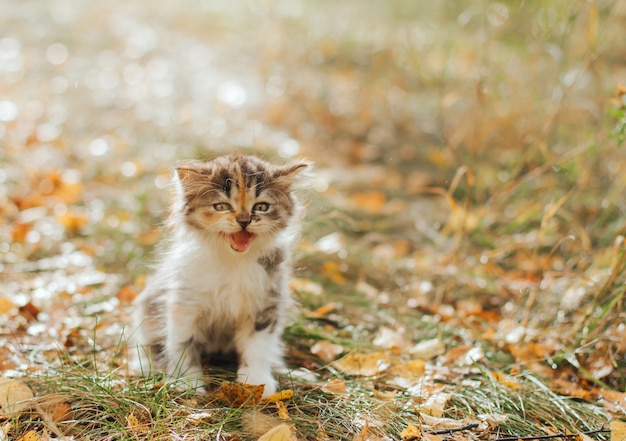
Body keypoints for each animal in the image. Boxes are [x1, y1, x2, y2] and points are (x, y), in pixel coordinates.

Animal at [130, 153, 308, 398]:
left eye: (261, 206)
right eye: (222, 206)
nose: (244, 220)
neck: (233, 261)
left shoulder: (265, 302)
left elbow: (257, 347)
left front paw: (257, 383)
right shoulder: (184, 302)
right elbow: (183, 344)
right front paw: (188, 382)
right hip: (147, 308)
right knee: (144, 344)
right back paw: (144, 366)